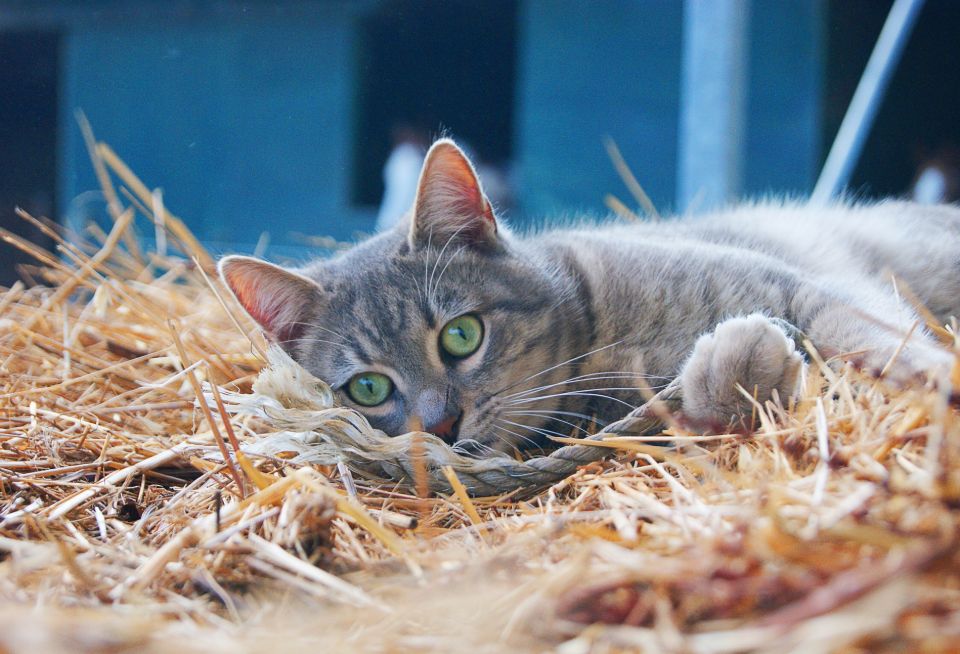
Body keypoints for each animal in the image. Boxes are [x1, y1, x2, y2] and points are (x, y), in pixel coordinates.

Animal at [219, 138, 960, 456]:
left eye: (461, 334)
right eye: (368, 390)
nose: (441, 425)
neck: (603, 337)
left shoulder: (806, 287)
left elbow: (872, 336)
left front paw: (933, 374)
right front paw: (741, 368)